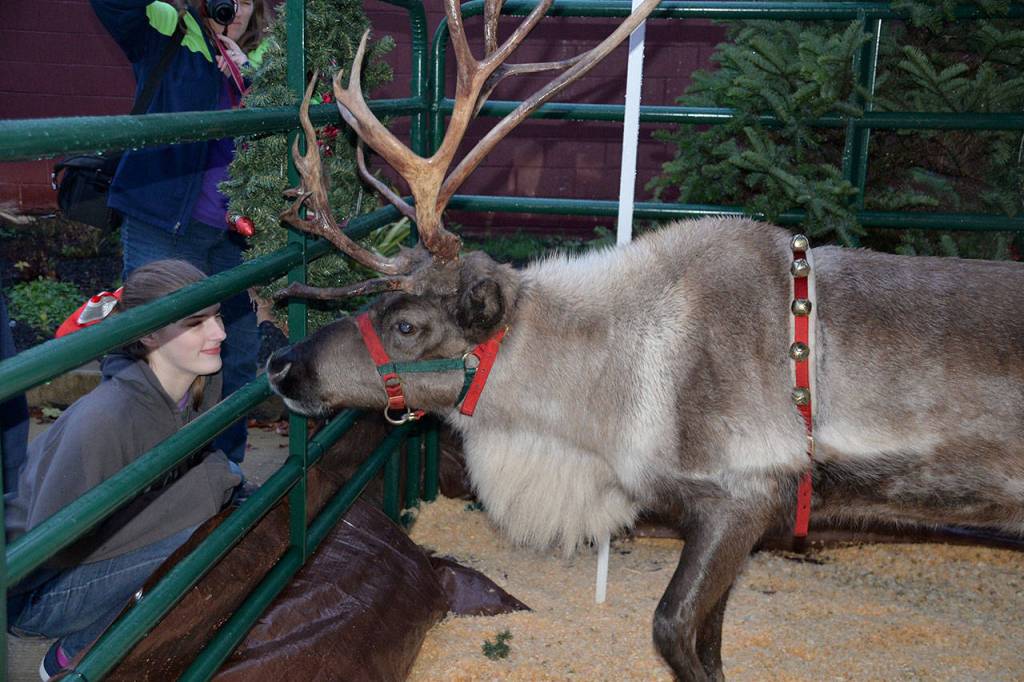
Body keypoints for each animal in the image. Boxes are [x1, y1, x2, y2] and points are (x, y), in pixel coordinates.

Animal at [264, 0, 1024, 679]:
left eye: (407, 326)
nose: (281, 364)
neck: (601, 389)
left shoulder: (746, 493)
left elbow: (676, 631)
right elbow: (707, 639)